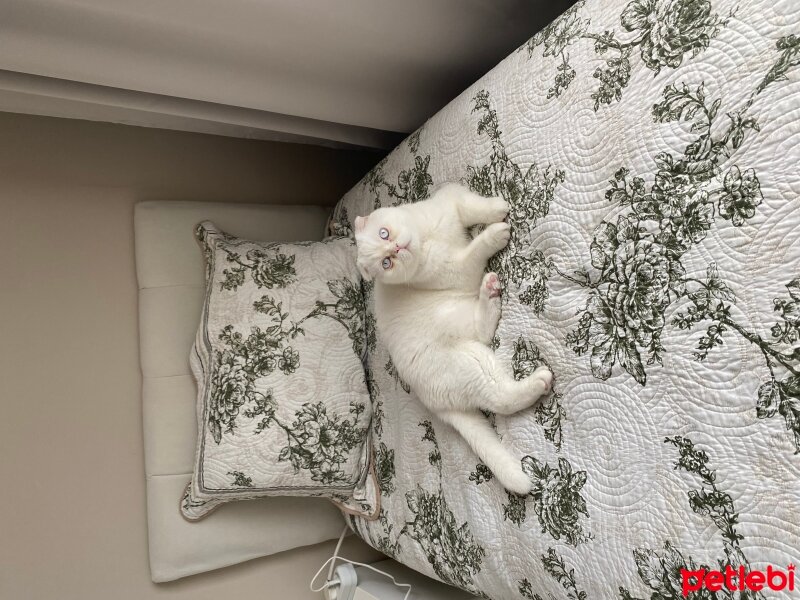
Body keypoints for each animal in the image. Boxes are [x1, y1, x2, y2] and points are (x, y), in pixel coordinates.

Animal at [356, 184, 552, 496]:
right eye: (386, 263)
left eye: (383, 234)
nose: (396, 248)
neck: (427, 239)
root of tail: (435, 404)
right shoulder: (460, 271)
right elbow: (474, 251)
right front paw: (496, 232)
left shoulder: (450, 201)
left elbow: (471, 205)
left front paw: (498, 208)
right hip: (471, 355)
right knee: (500, 393)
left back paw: (491, 291)